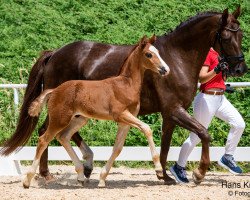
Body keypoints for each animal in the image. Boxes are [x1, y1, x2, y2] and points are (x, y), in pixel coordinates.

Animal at [23, 35, 170, 188]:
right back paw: (28, 180)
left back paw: (81, 175)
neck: (126, 85)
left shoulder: (125, 121)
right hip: (60, 119)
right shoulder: (121, 115)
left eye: (158, 52)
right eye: (149, 54)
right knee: (43, 139)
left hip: (79, 119)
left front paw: (102, 179)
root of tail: (54, 90)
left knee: (63, 137)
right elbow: (147, 129)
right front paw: (159, 170)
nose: (165, 69)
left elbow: (117, 148)